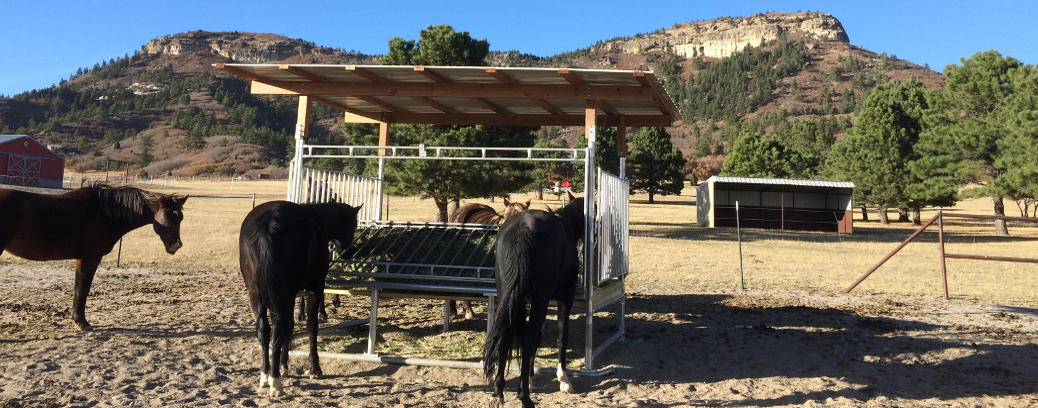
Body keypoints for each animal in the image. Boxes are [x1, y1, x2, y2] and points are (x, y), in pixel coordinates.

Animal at [0, 182, 188, 328]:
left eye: (180, 218)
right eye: (169, 217)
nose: (176, 245)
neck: (104, 213)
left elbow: (79, 288)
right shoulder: (90, 258)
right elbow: (83, 288)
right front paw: (82, 322)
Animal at [238, 198, 361, 396]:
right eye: (353, 224)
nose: (347, 253)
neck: (318, 221)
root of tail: (268, 224)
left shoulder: (290, 295)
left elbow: (289, 328)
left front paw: (284, 365)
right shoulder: (314, 288)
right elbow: (311, 326)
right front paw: (314, 368)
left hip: (256, 294)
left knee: (264, 330)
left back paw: (266, 375)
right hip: (282, 293)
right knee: (277, 328)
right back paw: (275, 381)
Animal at [483, 192, 585, 404]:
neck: (567, 226)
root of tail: (522, 230)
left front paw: (529, 378)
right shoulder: (564, 298)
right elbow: (561, 337)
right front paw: (564, 380)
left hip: (508, 296)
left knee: (506, 335)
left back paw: (499, 390)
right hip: (539, 299)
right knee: (528, 337)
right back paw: (525, 397)